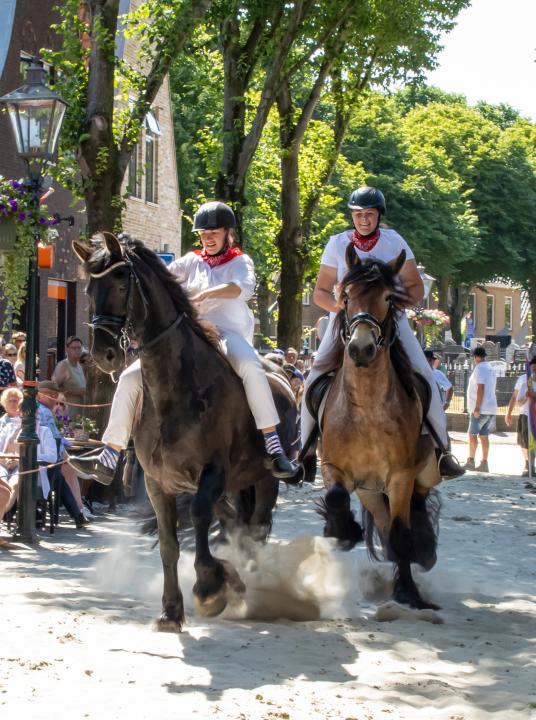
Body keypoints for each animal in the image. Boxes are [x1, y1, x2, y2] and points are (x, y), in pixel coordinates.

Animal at [74, 232, 302, 632]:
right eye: (89, 288)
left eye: (120, 283)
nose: (103, 354)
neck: (175, 387)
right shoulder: (157, 481)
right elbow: (170, 543)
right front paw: (171, 610)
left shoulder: (212, 472)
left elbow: (197, 516)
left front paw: (210, 587)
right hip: (235, 483)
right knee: (233, 522)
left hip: (264, 480)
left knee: (255, 528)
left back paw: (252, 583)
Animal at [318, 245, 440, 612]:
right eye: (345, 297)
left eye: (388, 297)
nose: (361, 348)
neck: (367, 408)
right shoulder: (334, 466)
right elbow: (336, 497)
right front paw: (344, 531)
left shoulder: (400, 475)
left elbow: (401, 532)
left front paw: (408, 593)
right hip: (370, 491)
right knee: (384, 525)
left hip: (420, 473)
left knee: (413, 508)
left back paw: (423, 552)